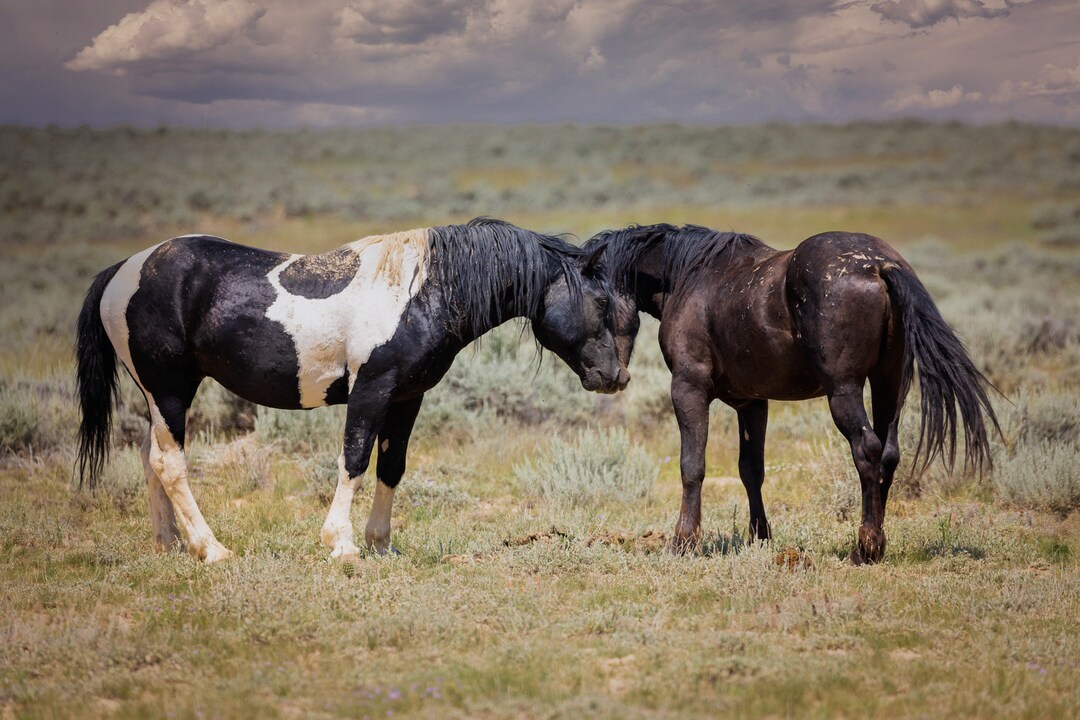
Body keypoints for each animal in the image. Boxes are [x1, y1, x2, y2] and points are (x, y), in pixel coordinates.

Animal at [76, 218, 627, 563]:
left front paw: (382, 544)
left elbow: (391, 466)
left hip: (158, 397)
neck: (421, 292)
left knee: (151, 459)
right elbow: (354, 460)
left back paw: (170, 544)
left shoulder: (407, 397)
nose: (616, 377)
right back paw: (210, 548)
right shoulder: (371, 390)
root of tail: (122, 271)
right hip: (170, 389)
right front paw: (341, 543)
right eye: (601, 302)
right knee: (170, 463)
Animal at [584, 223, 1000, 563]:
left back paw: (865, 547)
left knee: (867, 450)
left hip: (844, 391)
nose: (606, 377)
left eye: (598, 302)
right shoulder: (753, 403)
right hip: (888, 384)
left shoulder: (688, 389)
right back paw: (877, 541)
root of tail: (880, 266)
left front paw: (683, 541)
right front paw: (759, 537)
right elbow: (751, 470)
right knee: (889, 453)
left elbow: (692, 466)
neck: (688, 277)